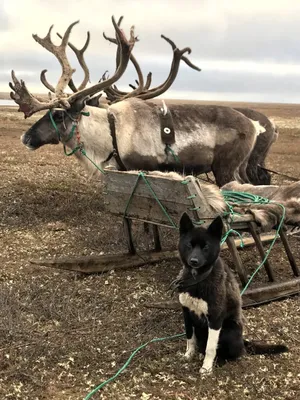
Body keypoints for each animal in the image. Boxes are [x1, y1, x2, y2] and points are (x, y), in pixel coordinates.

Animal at [172, 214, 290, 374]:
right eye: (189, 245)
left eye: (206, 247)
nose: (194, 261)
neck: (198, 280)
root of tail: (243, 341)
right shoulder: (187, 313)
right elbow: (190, 338)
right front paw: (188, 356)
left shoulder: (215, 319)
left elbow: (210, 347)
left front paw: (206, 368)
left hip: (229, 330)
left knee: (234, 353)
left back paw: (220, 361)